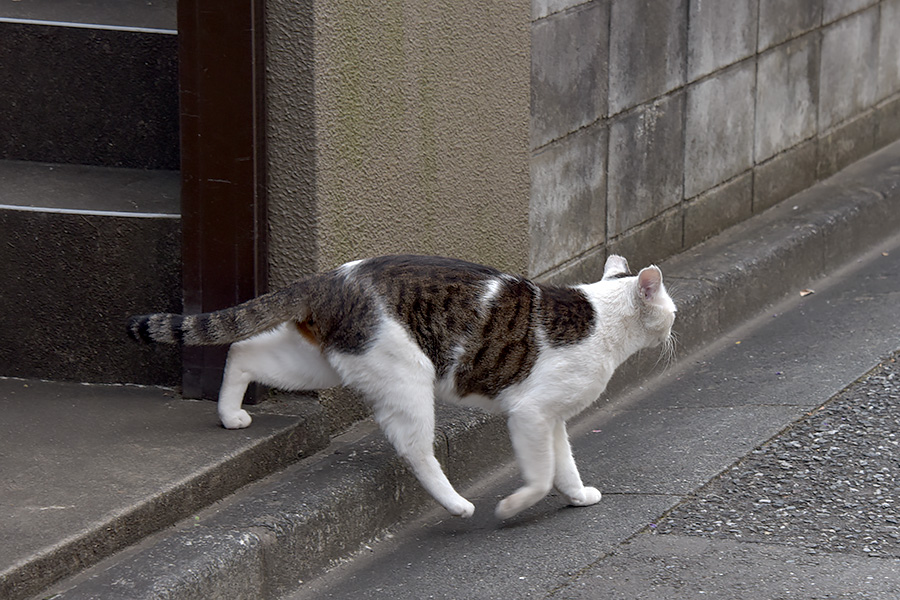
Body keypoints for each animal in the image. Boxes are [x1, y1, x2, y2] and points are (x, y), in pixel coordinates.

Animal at [126, 253, 676, 520]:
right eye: (670, 309)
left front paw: (579, 495)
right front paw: (511, 507)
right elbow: (539, 476)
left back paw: (230, 414)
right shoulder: (532, 414)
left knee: (242, 351)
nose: (674, 327)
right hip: (406, 375)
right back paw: (456, 504)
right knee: (416, 450)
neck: (603, 320)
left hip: (320, 364)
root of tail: (328, 278)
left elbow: (564, 465)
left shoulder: (552, 419)